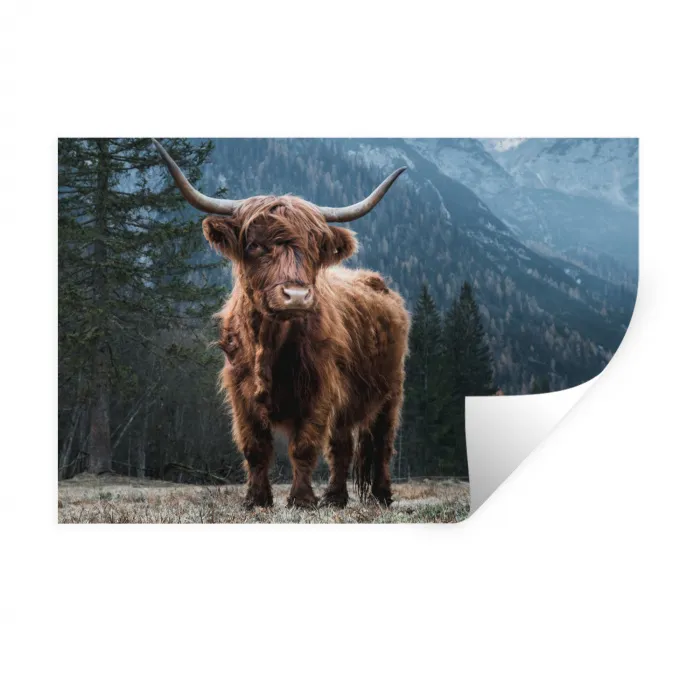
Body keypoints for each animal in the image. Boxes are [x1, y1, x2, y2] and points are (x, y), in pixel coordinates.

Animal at [153, 139, 409, 509]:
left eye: (315, 247)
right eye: (255, 245)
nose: (297, 296)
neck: (269, 343)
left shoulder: (320, 389)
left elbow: (304, 447)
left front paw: (301, 499)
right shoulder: (240, 392)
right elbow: (255, 447)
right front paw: (256, 499)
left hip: (391, 391)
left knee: (382, 444)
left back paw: (381, 495)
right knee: (342, 447)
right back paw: (335, 497)